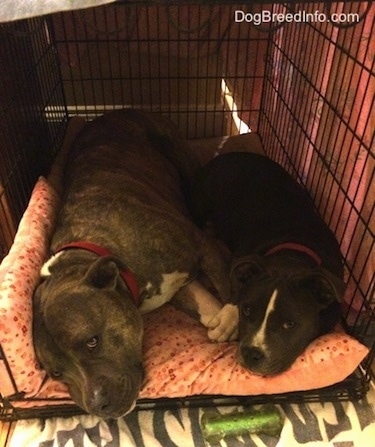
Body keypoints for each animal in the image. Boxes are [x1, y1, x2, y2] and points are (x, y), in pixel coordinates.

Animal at [191, 152, 346, 376]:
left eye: (290, 324)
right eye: (247, 310)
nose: (251, 353)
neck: (294, 250)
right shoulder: (242, 258)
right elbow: (236, 288)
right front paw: (228, 320)